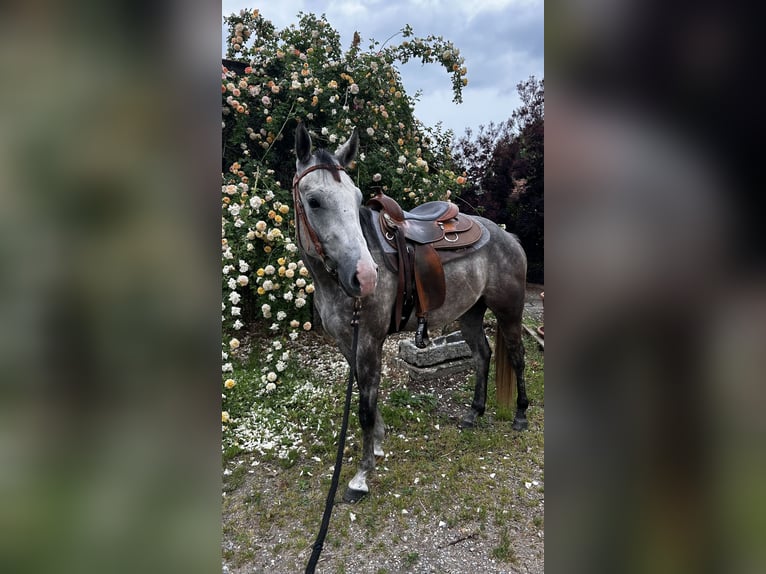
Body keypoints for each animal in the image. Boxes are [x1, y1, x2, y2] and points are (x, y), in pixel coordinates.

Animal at [292, 123, 529, 502]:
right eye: (313, 201)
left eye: (357, 198)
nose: (366, 276)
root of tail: (507, 237)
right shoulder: (347, 342)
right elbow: (366, 394)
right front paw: (376, 446)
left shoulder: (368, 341)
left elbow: (364, 407)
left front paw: (361, 476)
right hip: (470, 314)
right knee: (482, 354)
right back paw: (473, 414)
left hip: (509, 311)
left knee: (517, 356)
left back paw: (521, 415)